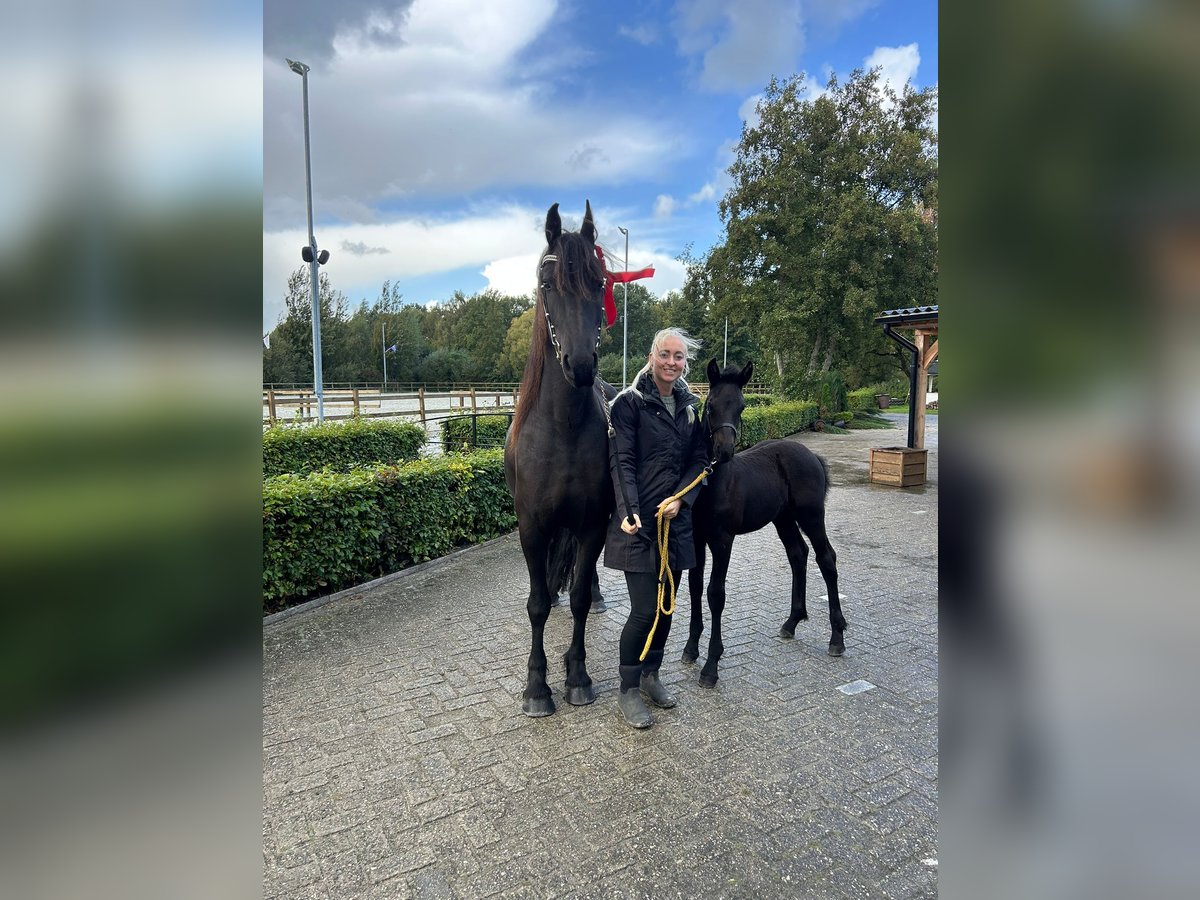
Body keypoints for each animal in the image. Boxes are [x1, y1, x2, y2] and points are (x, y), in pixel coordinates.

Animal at [683, 359, 846, 687]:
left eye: (742, 406)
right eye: (710, 405)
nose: (724, 452)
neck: (713, 480)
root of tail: (811, 455)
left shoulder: (723, 540)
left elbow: (715, 594)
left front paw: (711, 666)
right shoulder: (697, 538)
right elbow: (695, 586)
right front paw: (691, 649)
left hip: (811, 515)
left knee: (826, 558)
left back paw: (837, 637)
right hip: (783, 519)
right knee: (798, 555)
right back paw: (792, 622)